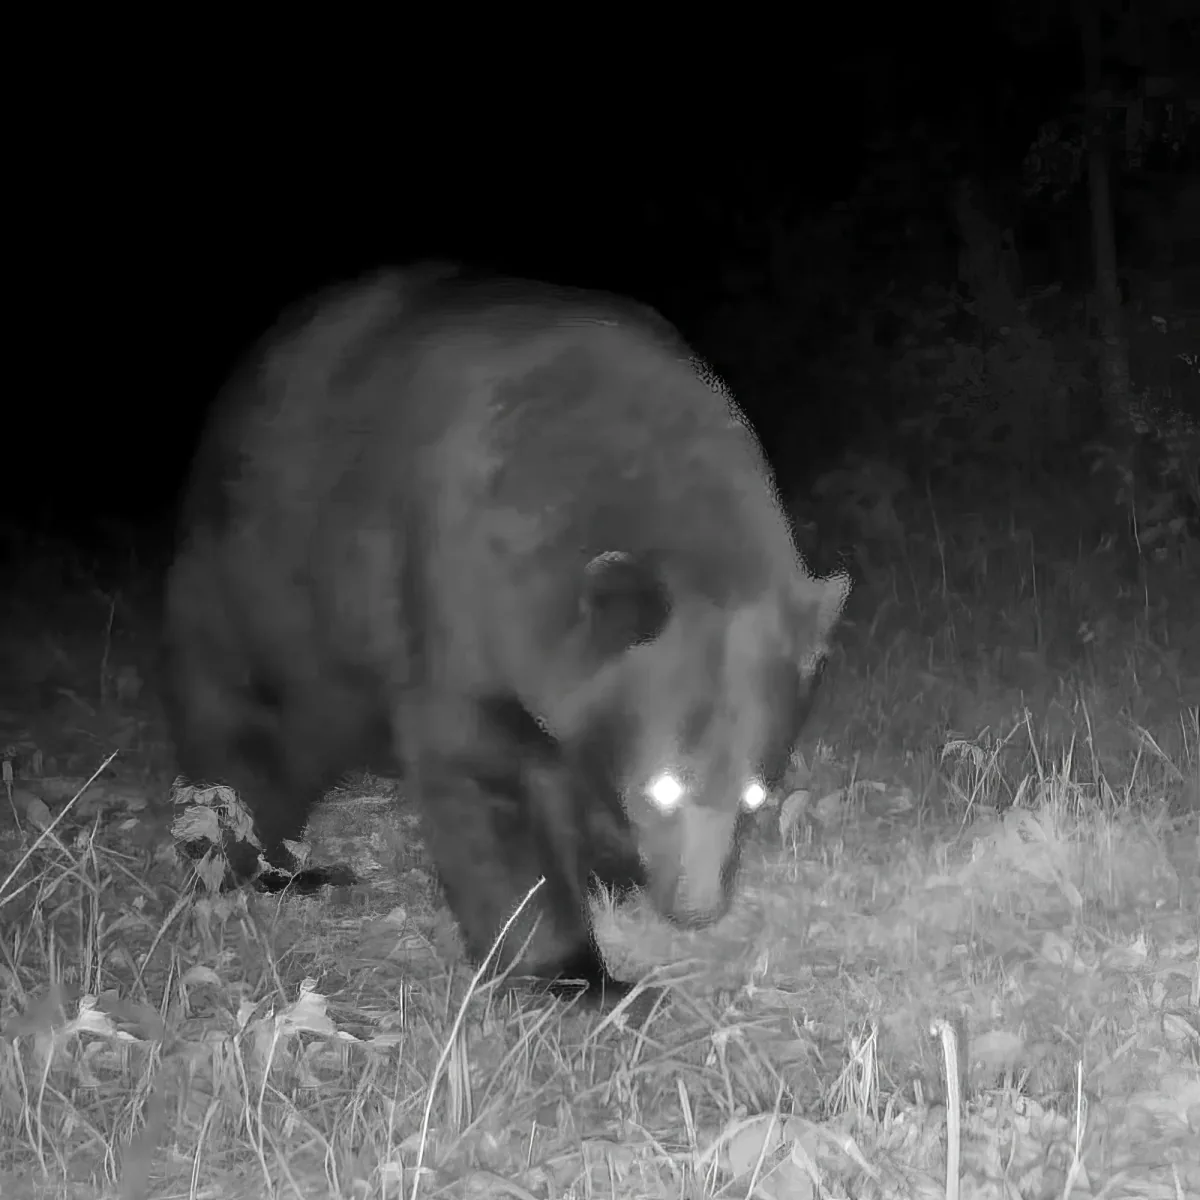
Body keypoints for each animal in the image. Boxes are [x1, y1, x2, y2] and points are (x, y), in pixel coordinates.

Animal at [162, 264, 850, 1003]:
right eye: (662, 786)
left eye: (756, 793)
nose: (696, 910)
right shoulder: (462, 588)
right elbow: (482, 774)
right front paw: (582, 975)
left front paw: (612, 871)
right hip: (257, 586)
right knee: (242, 743)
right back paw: (268, 870)